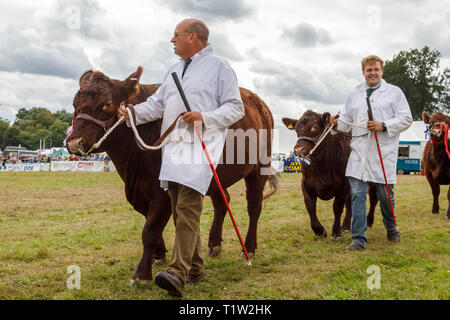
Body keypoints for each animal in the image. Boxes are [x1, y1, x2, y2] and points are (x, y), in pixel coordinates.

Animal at [66, 67, 278, 282]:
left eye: (107, 104)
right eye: (75, 104)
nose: (74, 142)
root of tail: (259, 103)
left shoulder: (160, 192)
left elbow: (150, 230)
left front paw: (142, 273)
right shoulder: (140, 192)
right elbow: (151, 225)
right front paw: (158, 255)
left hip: (260, 166)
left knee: (254, 206)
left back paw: (249, 247)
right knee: (222, 201)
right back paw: (214, 244)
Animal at [284, 110, 378, 238]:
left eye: (315, 127)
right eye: (296, 129)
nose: (298, 150)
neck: (322, 168)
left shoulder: (343, 185)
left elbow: (337, 207)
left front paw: (336, 231)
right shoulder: (306, 184)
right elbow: (310, 206)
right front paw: (319, 230)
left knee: (373, 199)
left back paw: (368, 221)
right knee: (350, 202)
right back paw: (346, 226)